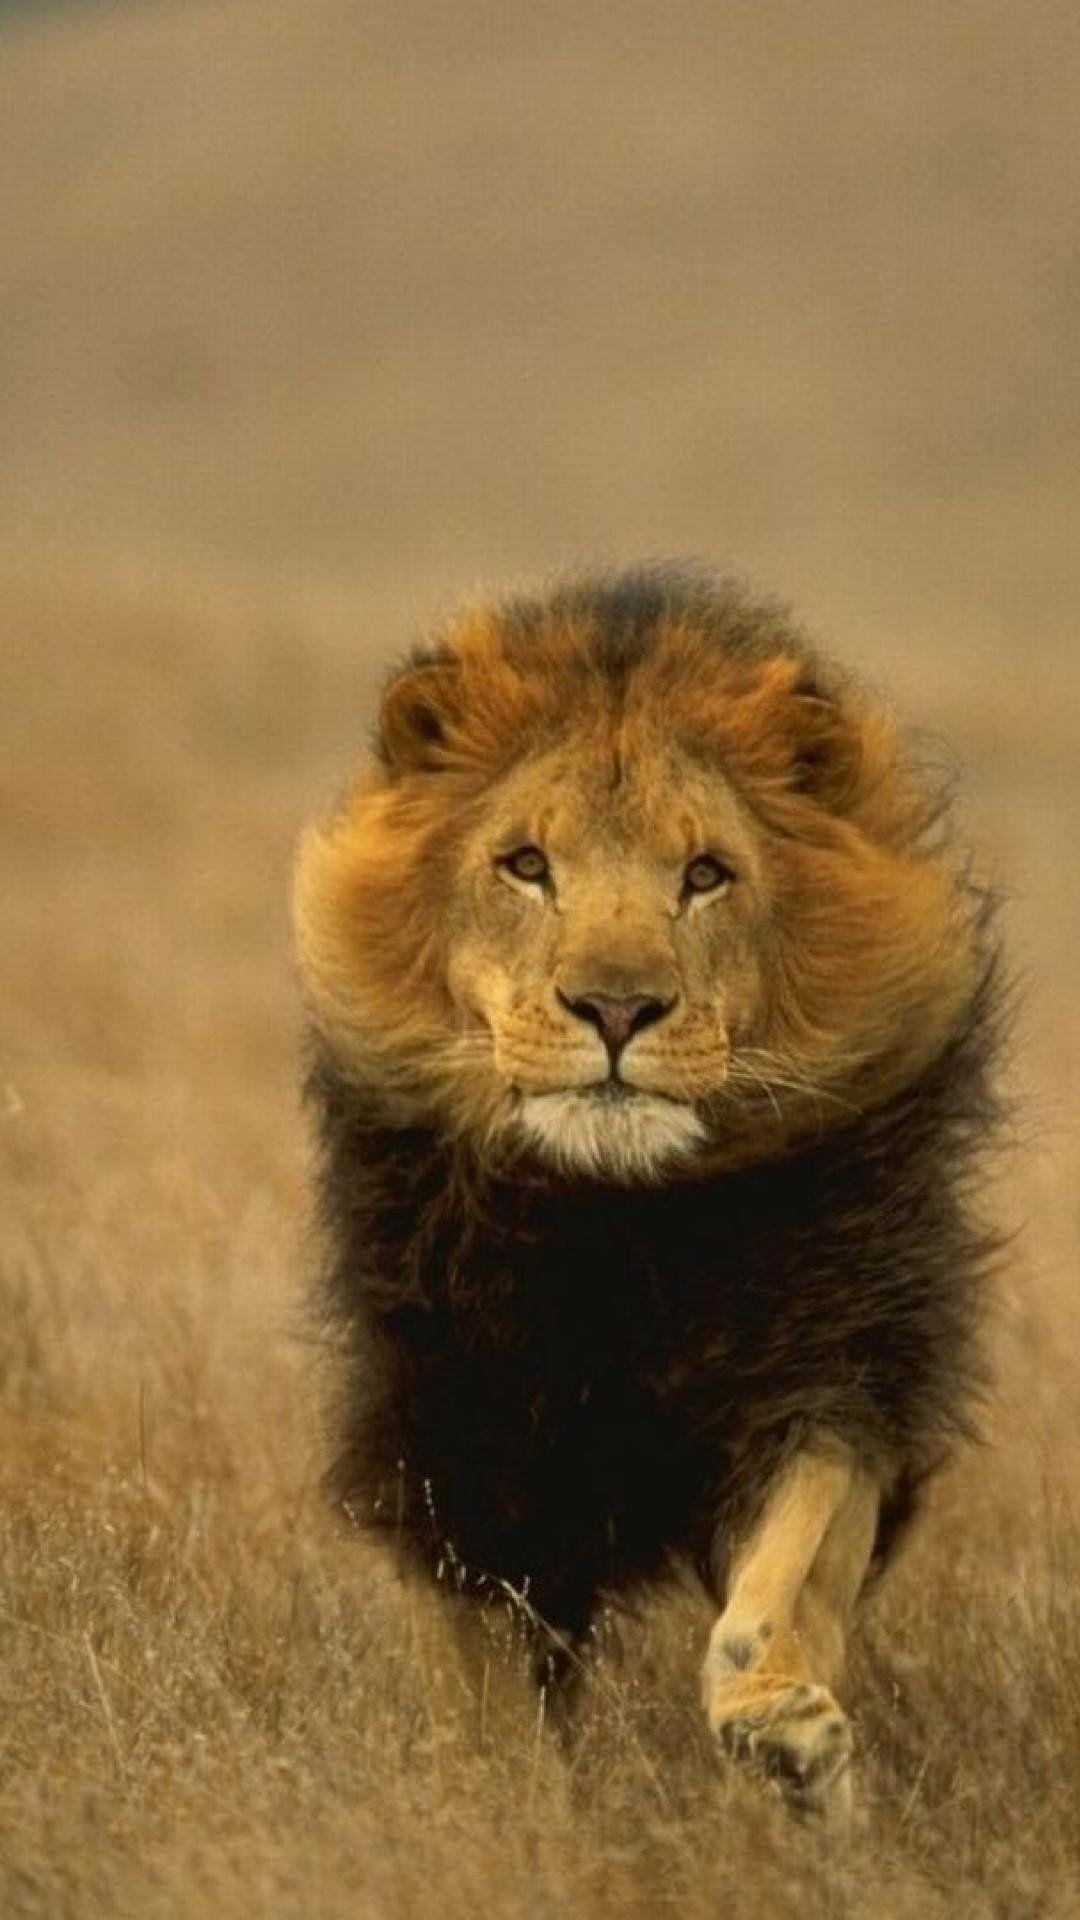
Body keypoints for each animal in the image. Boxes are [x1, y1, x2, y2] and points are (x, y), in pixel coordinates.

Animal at [292, 565, 1000, 1819]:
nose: (616, 1008)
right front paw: (500, 1810)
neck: (621, 1229)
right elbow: (482, 1688)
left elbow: (786, 1575)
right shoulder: (458, 1440)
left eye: (705, 875)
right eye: (527, 865)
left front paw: (781, 1731)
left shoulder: (829, 1368)